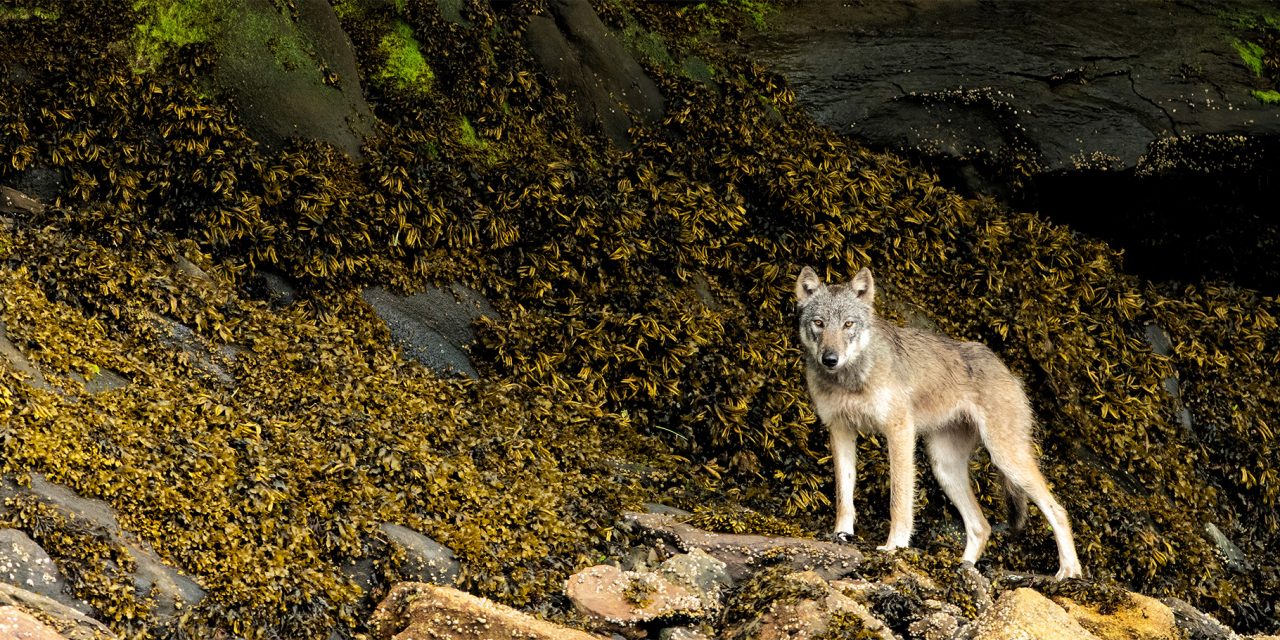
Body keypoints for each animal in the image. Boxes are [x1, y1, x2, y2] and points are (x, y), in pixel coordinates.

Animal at [794, 266, 1083, 579]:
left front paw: (894, 547)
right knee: (981, 526)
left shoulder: (899, 432)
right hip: (944, 468)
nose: (830, 358)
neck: (850, 379)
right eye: (819, 323)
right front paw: (842, 535)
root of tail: (1006, 369)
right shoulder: (840, 430)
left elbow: (899, 500)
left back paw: (1070, 571)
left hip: (1006, 459)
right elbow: (843, 495)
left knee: (1058, 510)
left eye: (848, 324)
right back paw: (963, 569)